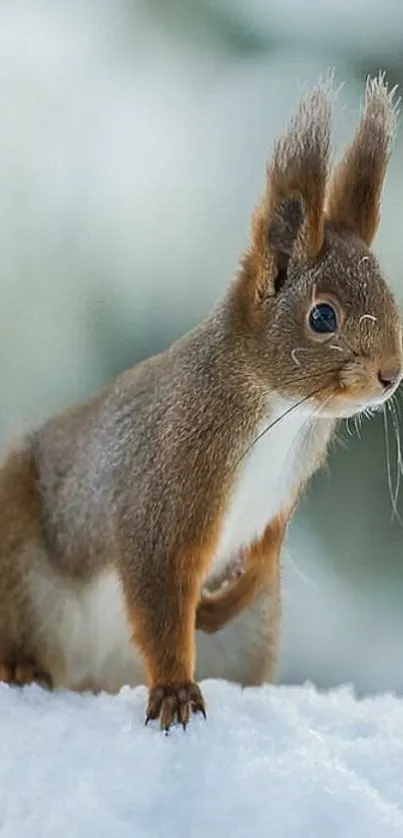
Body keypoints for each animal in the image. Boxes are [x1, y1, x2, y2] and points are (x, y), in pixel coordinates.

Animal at [0, 75, 402, 732]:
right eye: (322, 317)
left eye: (390, 294)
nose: (391, 374)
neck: (279, 411)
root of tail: (90, 676)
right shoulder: (167, 480)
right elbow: (159, 588)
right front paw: (174, 690)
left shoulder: (281, 497)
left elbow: (262, 556)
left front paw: (215, 605)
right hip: (17, 551)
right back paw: (20, 664)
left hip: (252, 636)